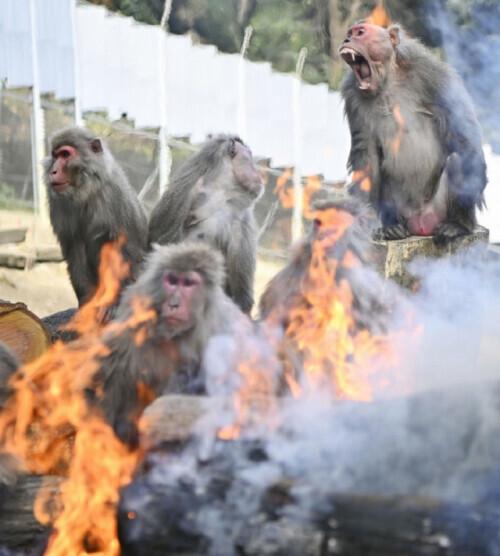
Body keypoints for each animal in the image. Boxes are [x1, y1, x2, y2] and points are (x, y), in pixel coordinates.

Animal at [44, 128, 148, 306]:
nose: (53, 171)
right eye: (55, 156)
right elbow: (74, 246)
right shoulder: (57, 201)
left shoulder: (115, 195)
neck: (86, 190)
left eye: (65, 154)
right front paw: (86, 299)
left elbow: (126, 247)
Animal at [338, 22, 486, 243]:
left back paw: (458, 224)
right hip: (402, 212)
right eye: (350, 33)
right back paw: (391, 227)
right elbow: (367, 156)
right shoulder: (352, 94)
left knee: (460, 157)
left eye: (360, 32)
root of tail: (421, 225)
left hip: (437, 208)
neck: (388, 79)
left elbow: (463, 135)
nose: (347, 39)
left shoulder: (433, 74)